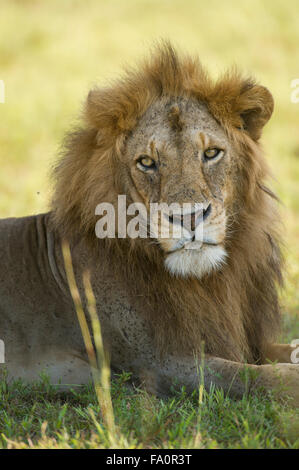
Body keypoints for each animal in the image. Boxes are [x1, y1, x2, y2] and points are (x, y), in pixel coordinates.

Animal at [0, 42, 298, 406]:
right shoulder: (159, 364)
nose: (188, 217)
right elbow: (262, 377)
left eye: (211, 153)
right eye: (146, 162)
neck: (206, 282)